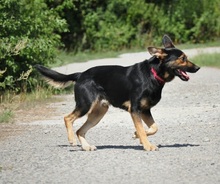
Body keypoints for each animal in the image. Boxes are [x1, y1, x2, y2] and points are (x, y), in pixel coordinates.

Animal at [35, 34, 200, 151]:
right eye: (182, 58)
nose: (198, 68)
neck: (153, 74)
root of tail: (80, 74)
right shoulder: (135, 110)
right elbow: (143, 128)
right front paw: (147, 145)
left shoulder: (145, 110)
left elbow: (153, 127)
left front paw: (137, 135)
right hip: (85, 105)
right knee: (67, 118)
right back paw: (71, 140)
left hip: (98, 113)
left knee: (80, 130)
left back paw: (86, 146)